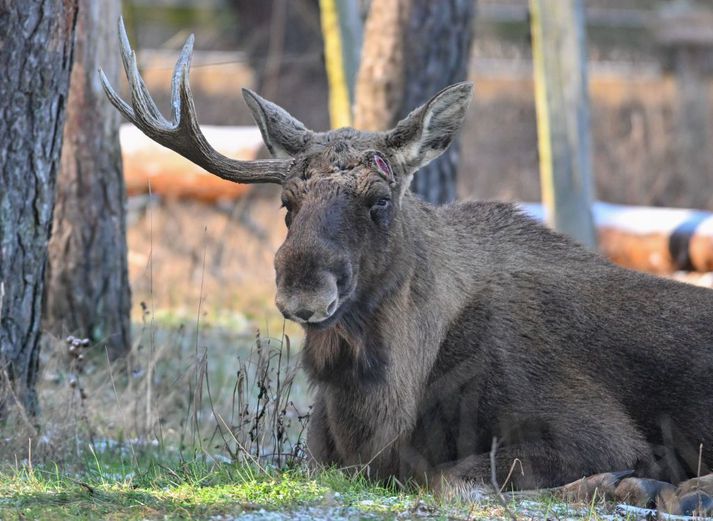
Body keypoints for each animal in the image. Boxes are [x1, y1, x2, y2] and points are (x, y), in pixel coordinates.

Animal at [103, 21, 712, 512]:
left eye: (380, 200)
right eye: (287, 203)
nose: (302, 291)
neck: (380, 413)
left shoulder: (596, 430)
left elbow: (454, 479)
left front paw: (629, 485)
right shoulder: (326, 457)